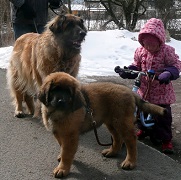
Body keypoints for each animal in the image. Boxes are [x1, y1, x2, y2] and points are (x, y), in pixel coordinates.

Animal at [38, 72, 167, 179]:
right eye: (55, 89)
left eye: (68, 92)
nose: (61, 101)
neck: (56, 112)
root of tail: (130, 91)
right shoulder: (59, 133)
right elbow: (62, 147)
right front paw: (61, 158)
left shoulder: (70, 135)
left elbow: (67, 153)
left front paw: (62, 169)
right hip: (112, 122)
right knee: (117, 138)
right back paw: (112, 152)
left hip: (122, 123)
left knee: (131, 141)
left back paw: (130, 162)